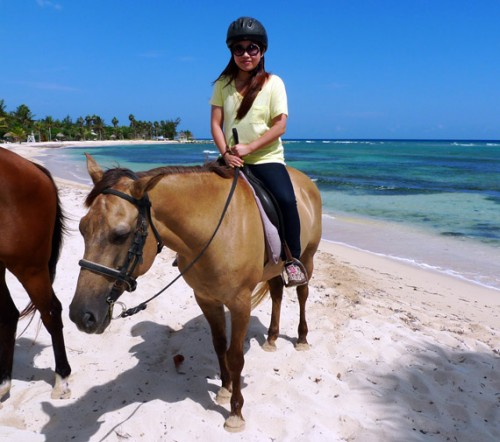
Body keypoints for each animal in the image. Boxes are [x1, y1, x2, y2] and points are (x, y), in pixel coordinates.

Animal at [0, 147, 71, 402]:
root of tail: (33, 167)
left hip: (28, 266)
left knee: (51, 311)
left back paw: (61, 379)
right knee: (9, 315)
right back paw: (3, 383)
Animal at [69, 153, 320, 432]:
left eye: (120, 234)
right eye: (82, 228)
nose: (81, 315)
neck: (216, 230)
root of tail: (305, 180)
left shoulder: (240, 303)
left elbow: (235, 356)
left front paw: (235, 412)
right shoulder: (206, 299)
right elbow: (220, 345)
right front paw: (224, 389)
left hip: (307, 257)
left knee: (302, 294)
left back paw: (302, 338)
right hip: (274, 267)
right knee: (276, 293)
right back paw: (272, 338)